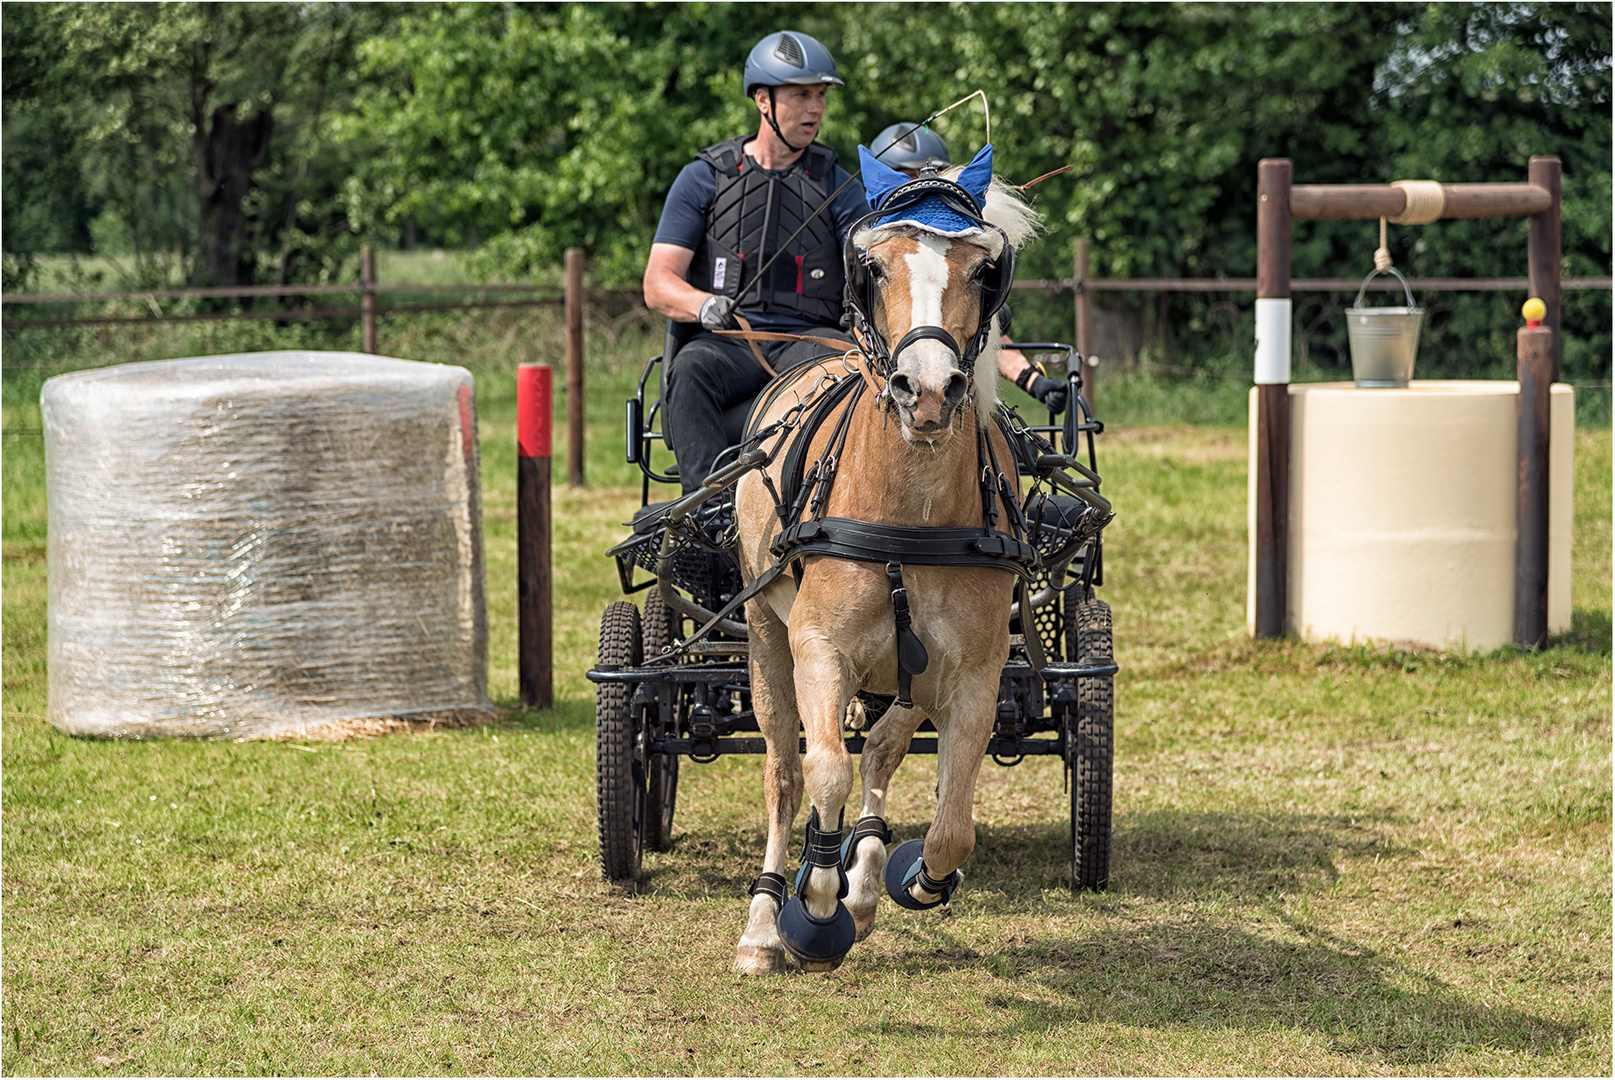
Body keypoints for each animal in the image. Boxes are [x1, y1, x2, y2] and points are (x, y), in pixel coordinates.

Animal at [729, 142, 1040, 968]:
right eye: (871, 266)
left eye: (982, 270)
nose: (926, 390)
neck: (911, 515)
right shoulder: (816, 645)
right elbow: (822, 770)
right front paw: (811, 906)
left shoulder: (972, 672)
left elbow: (950, 824)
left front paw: (903, 880)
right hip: (765, 636)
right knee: (785, 769)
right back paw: (765, 919)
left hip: (909, 672)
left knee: (882, 749)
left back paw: (865, 874)